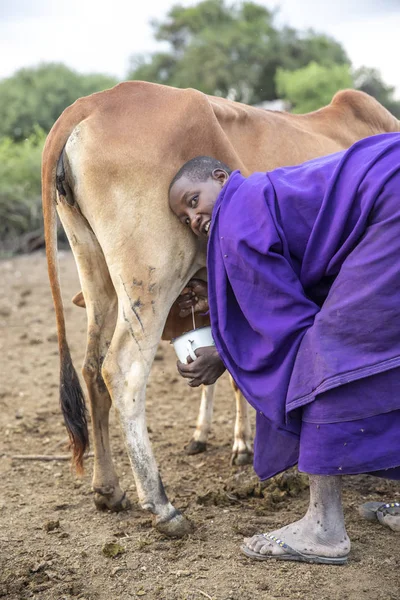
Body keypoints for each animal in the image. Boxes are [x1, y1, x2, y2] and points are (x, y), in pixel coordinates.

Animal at [42, 82, 398, 536]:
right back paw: (162, 505)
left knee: (91, 367)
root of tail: (92, 102)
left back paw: (108, 489)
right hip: (152, 279)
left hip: (96, 273)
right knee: (121, 371)